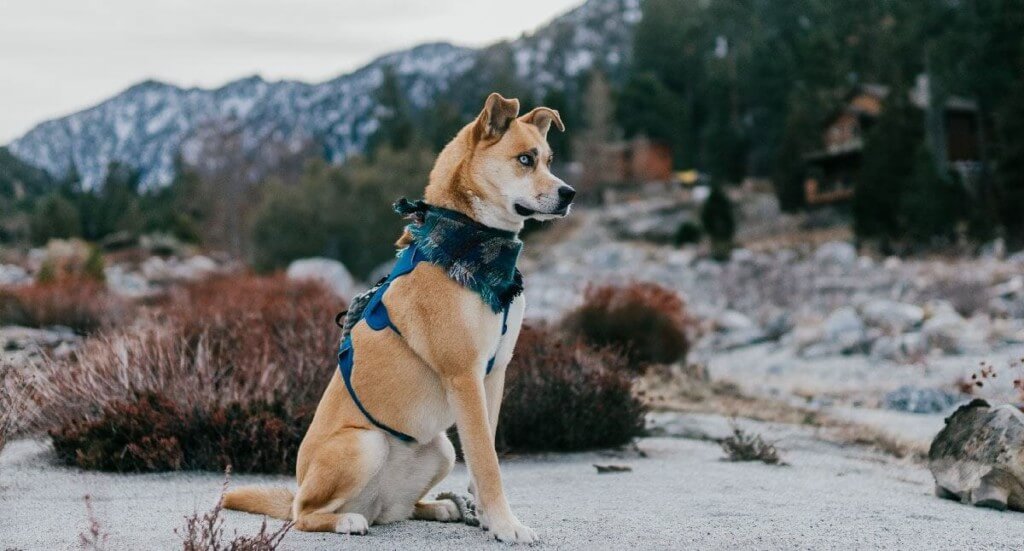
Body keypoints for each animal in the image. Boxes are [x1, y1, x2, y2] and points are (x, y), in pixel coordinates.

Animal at [224, 92, 573, 540]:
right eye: (525, 159)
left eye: (548, 159)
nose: (569, 194)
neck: (469, 249)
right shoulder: (465, 377)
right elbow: (488, 463)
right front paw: (506, 526)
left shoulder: (493, 376)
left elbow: (484, 458)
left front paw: (485, 517)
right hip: (364, 445)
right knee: (304, 515)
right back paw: (346, 520)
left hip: (440, 448)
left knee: (399, 510)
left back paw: (440, 507)